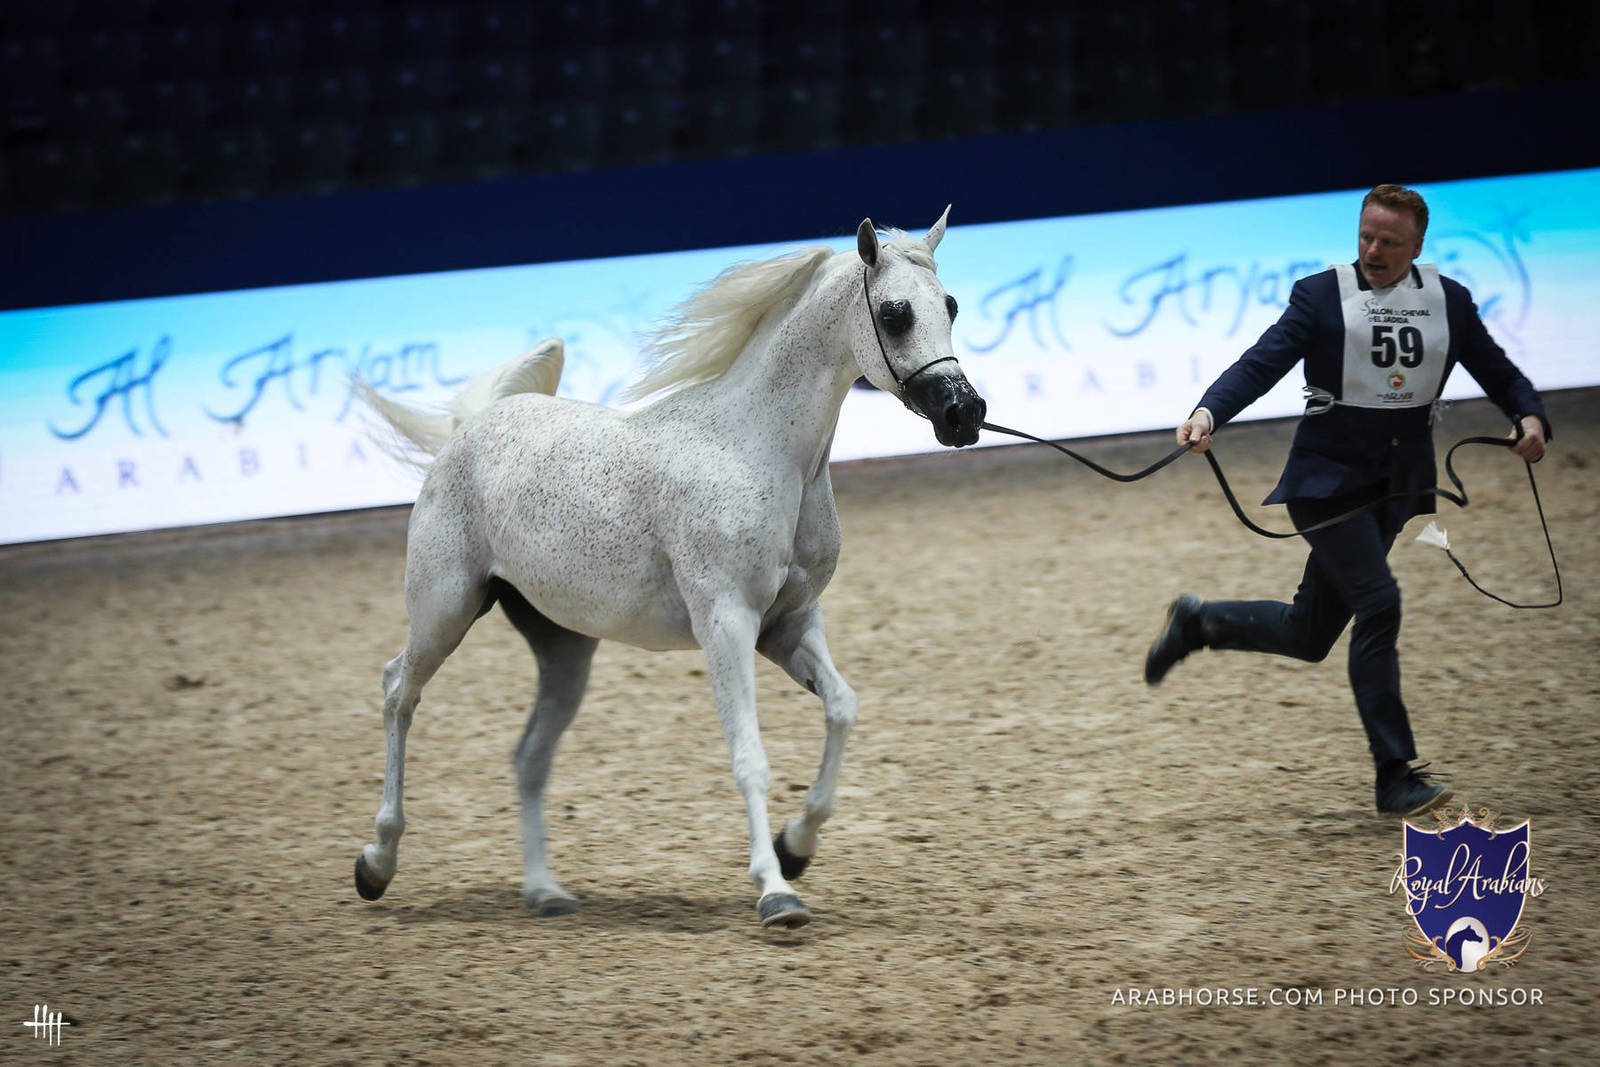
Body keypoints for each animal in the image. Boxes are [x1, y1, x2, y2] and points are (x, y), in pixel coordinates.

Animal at [352, 210, 987, 928]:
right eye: (895, 313)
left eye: (950, 305)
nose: (964, 413)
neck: (757, 448)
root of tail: (472, 424)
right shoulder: (727, 624)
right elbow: (750, 758)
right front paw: (777, 893)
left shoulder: (788, 625)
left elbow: (843, 708)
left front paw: (795, 847)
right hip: (445, 608)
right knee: (398, 690)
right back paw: (376, 863)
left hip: (563, 648)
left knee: (528, 757)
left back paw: (545, 892)